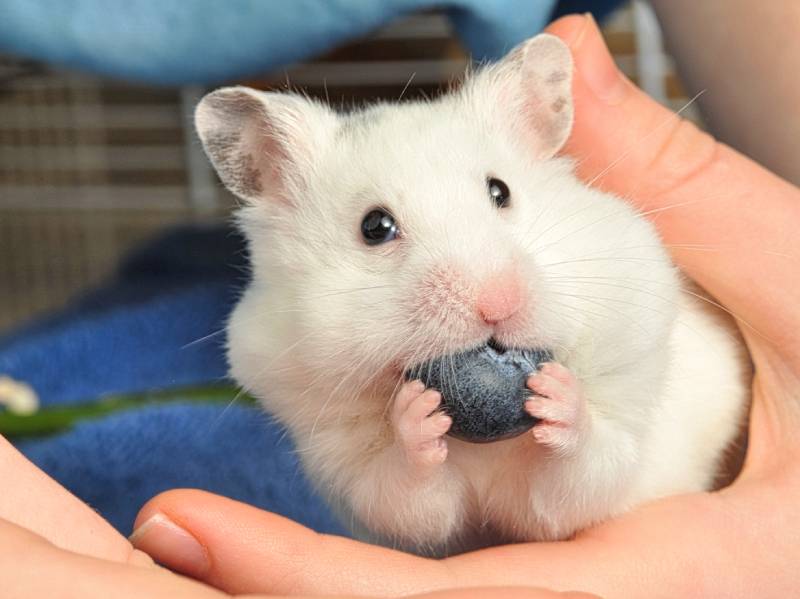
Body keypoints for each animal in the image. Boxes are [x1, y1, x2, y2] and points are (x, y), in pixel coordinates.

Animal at [194, 33, 749, 555]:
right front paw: (417, 414)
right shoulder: (346, 459)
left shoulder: (620, 432)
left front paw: (557, 393)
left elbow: (582, 475)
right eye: (375, 227)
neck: (483, 447)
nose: (497, 305)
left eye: (500, 191)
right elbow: (406, 496)